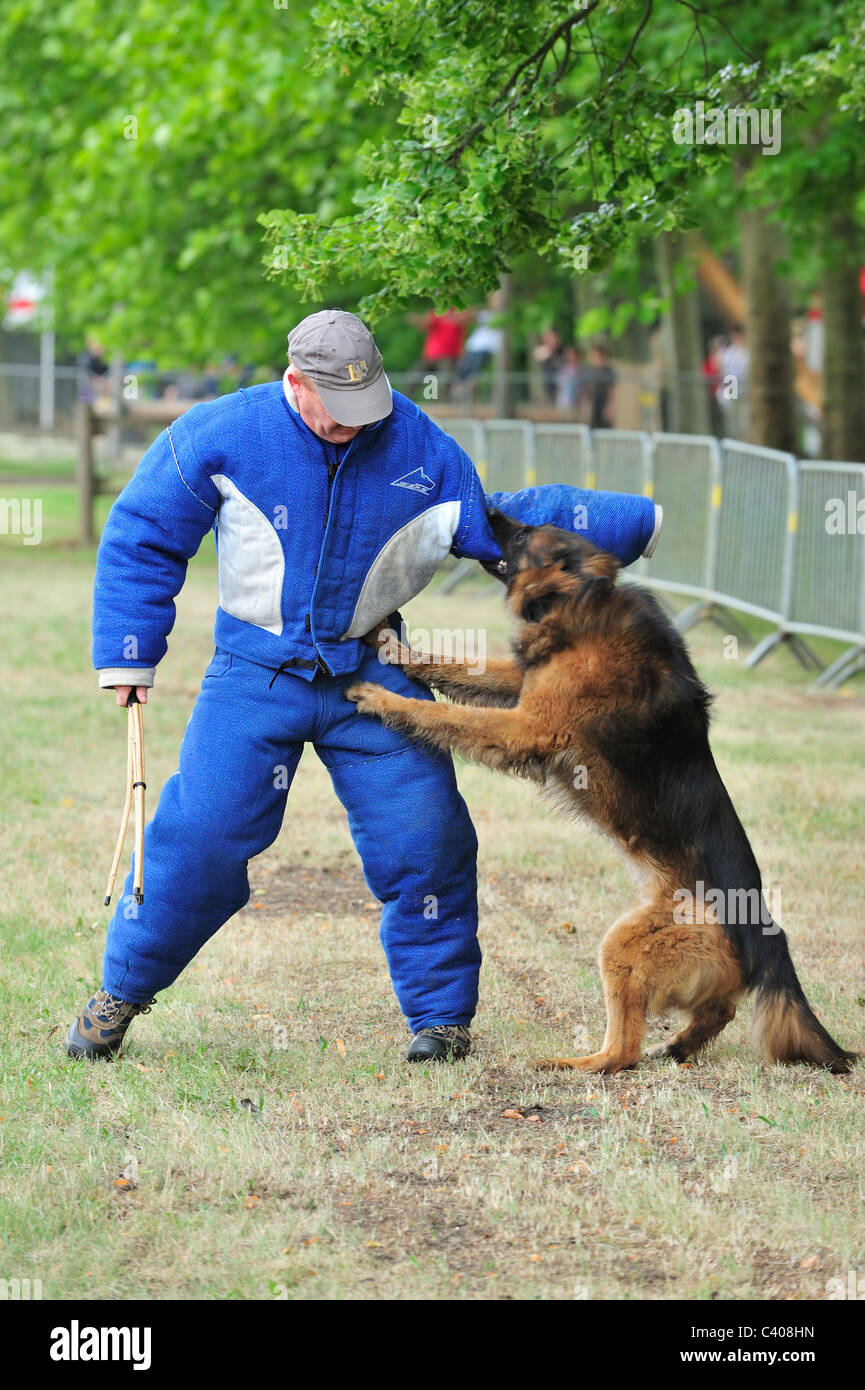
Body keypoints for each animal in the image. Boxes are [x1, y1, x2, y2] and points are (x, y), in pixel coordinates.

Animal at [347, 508, 862, 1073]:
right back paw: (677, 1046)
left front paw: (384, 699)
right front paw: (394, 649)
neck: (583, 599)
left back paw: (572, 1064)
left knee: (624, 1052)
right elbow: (458, 664)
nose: (489, 509)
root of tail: (765, 930)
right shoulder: (524, 686)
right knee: (719, 1009)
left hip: (624, 945)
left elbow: (446, 713)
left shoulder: (527, 725)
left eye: (524, 534)